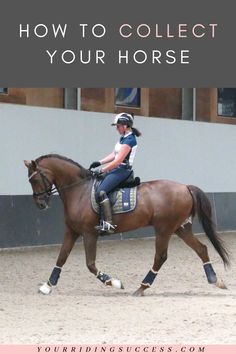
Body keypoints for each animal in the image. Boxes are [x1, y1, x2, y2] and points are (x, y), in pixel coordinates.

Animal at [23, 155, 229, 296]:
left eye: (35, 179)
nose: (40, 204)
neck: (79, 190)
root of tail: (185, 187)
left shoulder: (89, 233)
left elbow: (90, 264)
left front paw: (114, 282)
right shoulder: (72, 231)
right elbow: (61, 257)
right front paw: (47, 285)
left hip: (164, 228)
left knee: (161, 257)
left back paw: (142, 287)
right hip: (180, 228)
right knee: (201, 248)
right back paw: (215, 280)